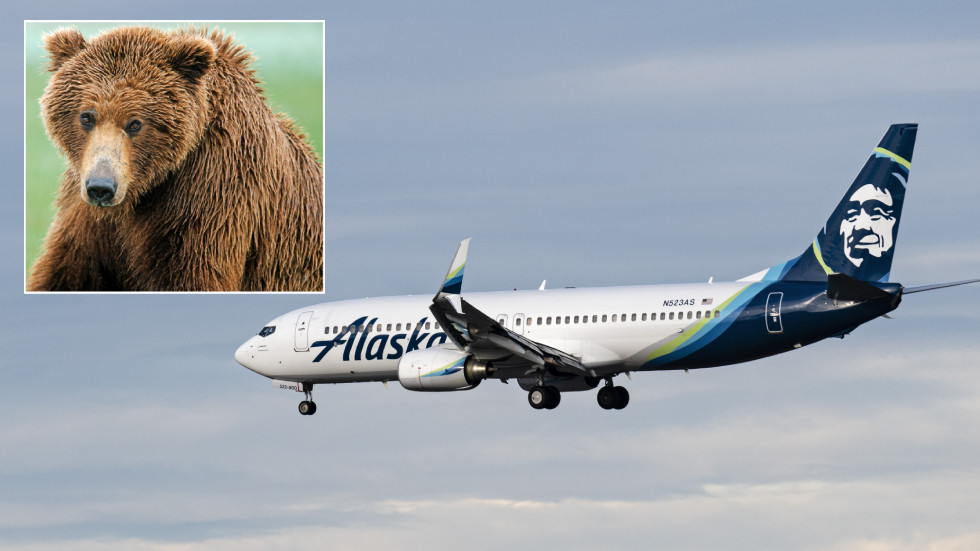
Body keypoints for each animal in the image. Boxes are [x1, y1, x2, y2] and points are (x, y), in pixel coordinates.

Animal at [27, 26, 323, 292]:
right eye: (87, 116)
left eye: (135, 123)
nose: (102, 187)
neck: (144, 189)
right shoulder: (85, 216)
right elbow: (63, 272)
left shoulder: (212, 196)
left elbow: (193, 275)